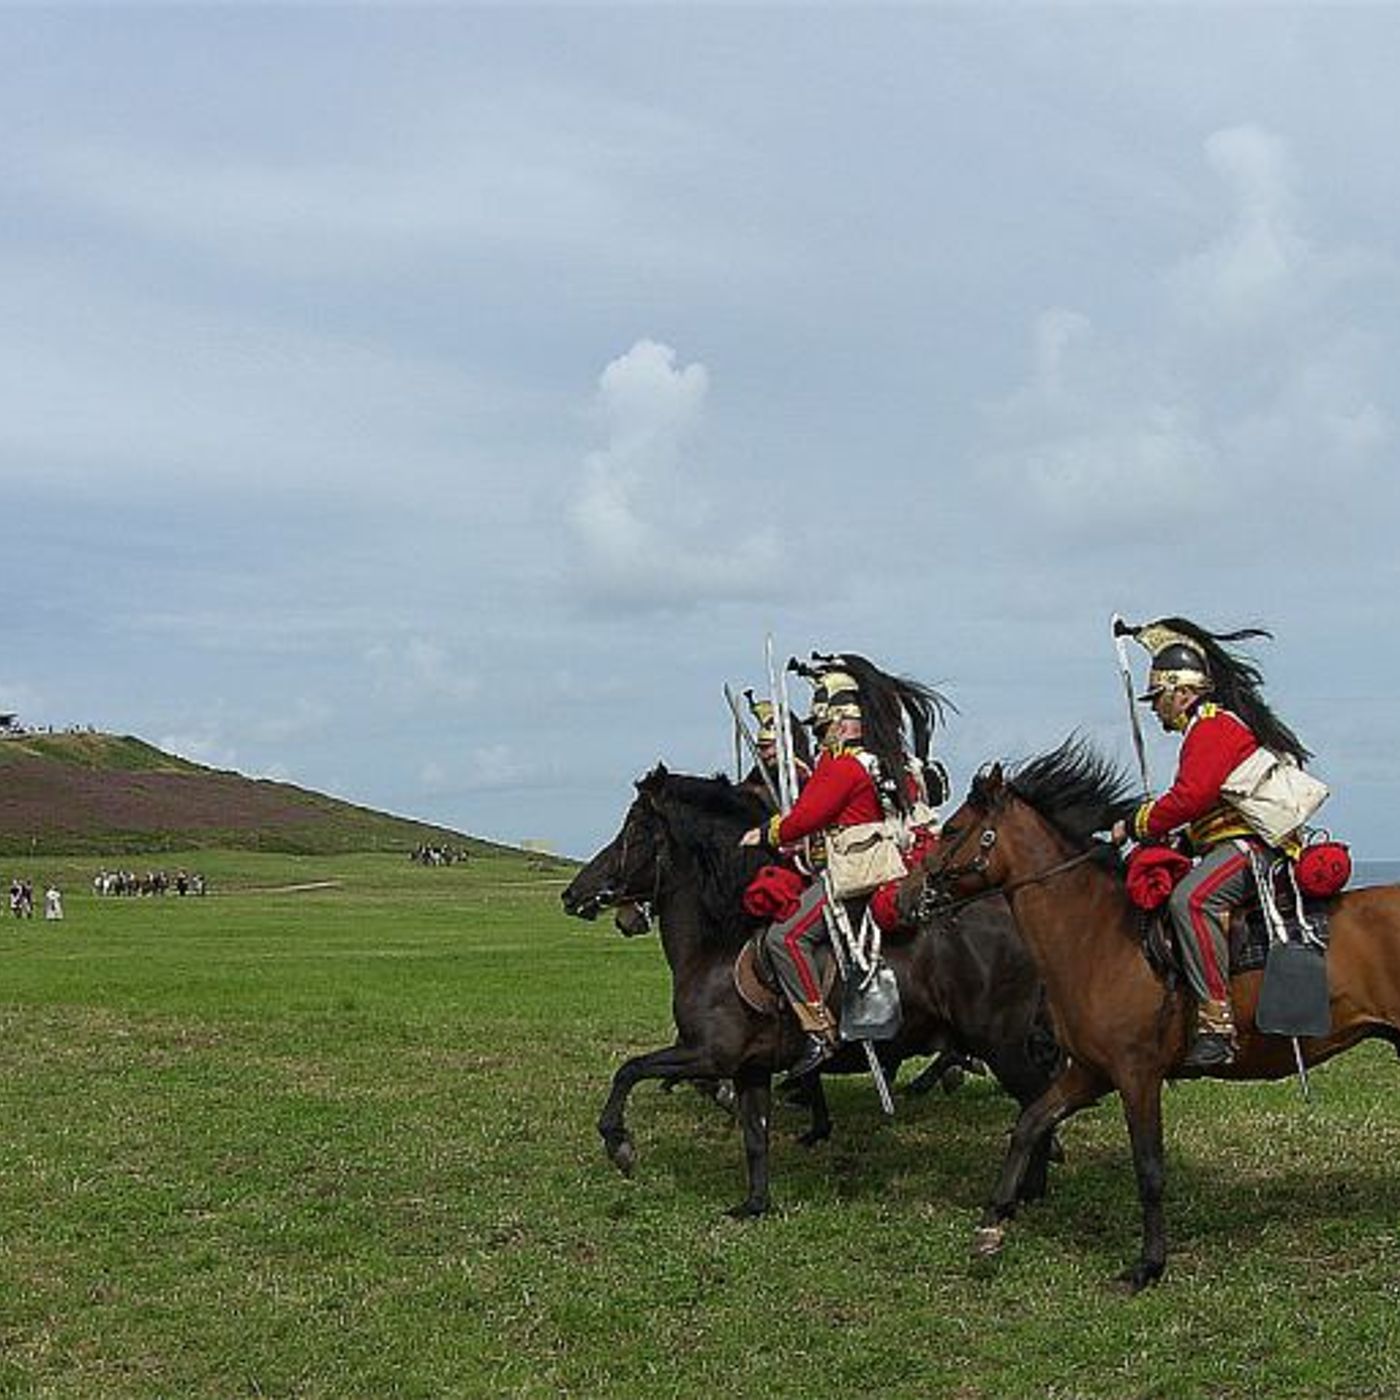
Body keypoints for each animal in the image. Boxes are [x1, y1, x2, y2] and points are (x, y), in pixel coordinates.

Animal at [557, 767, 1058, 1215]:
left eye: (635, 830)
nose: (572, 894)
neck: (717, 945)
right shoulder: (750, 1069)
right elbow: (755, 1136)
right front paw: (755, 1204)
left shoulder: (708, 1055)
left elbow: (630, 1070)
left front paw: (619, 1145)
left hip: (1001, 1045)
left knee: (1038, 1103)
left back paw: (1026, 1190)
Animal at [912, 739, 1400, 1293]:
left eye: (952, 830)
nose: (909, 895)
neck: (1098, 935)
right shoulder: (1089, 1073)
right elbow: (1029, 1123)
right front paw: (993, 1223)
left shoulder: (1136, 1076)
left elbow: (1149, 1171)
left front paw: (1148, 1264)